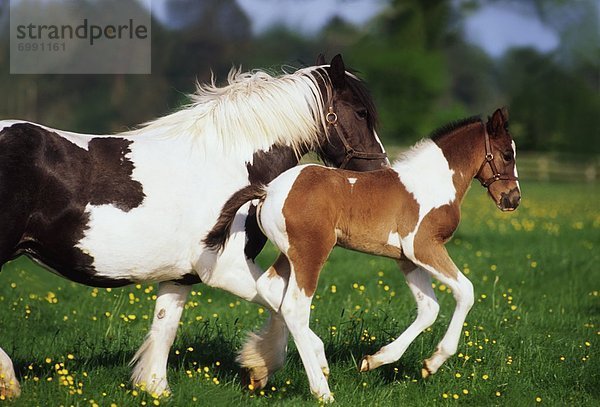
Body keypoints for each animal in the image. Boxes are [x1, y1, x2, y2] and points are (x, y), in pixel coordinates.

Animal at [205, 107, 520, 402]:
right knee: (294, 308)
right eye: (507, 155)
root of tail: (267, 191)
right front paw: (434, 361)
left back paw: (281, 365)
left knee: (269, 290)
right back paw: (322, 391)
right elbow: (465, 291)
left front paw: (376, 360)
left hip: (290, 253)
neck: (431, 183)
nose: (513, 199)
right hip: (311, 252)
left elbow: (429, 308)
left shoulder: (406, 258)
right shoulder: (424, 246)